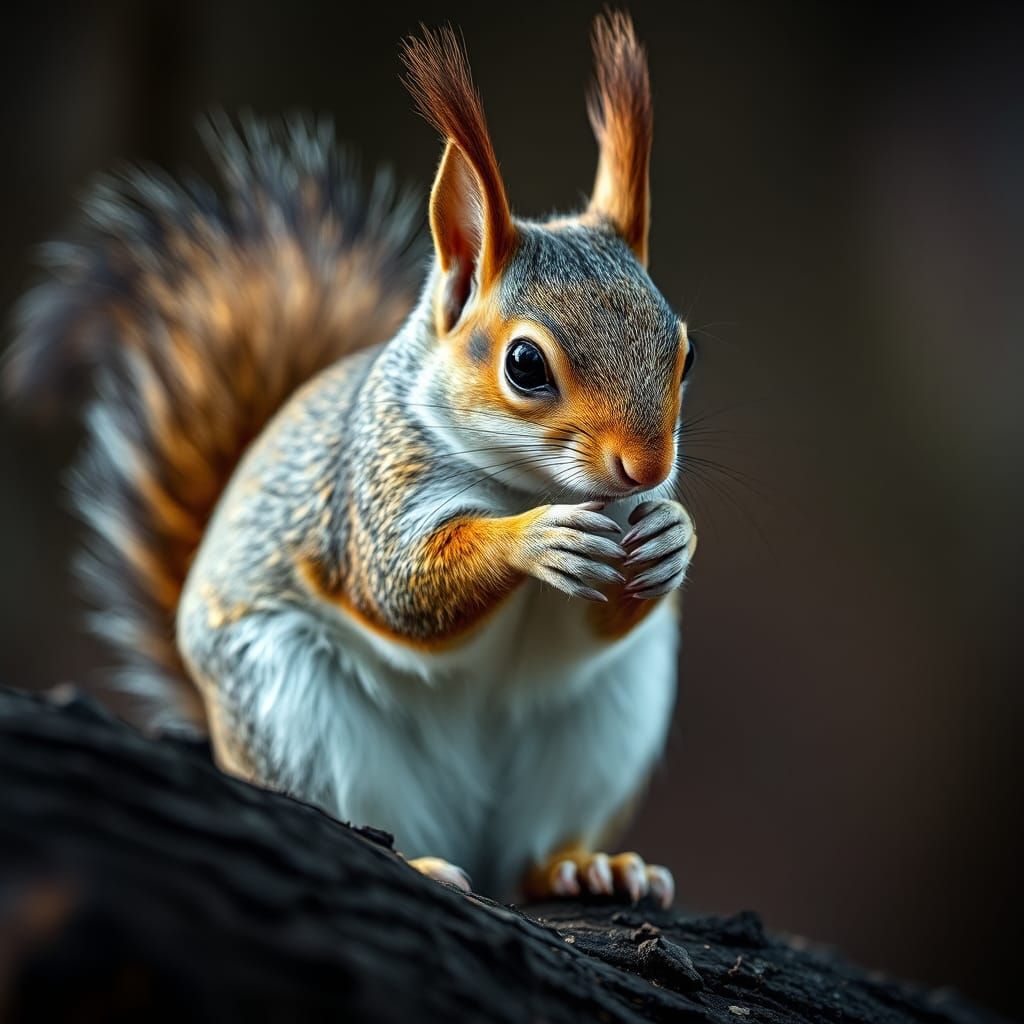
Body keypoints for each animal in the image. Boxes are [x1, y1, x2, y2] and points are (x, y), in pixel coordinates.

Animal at [6, 12, 697, 907]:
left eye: (686, 355)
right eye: (525, 366)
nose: (645, 471)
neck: (526, 481)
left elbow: (604, 616)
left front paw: (674, 536)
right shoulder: (371, 488)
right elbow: (400, 588)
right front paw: (531, 539)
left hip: (607, 723)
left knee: (532, 849)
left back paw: (584, 865)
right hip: (291, 707)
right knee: (356, 813)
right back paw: (418, 861)